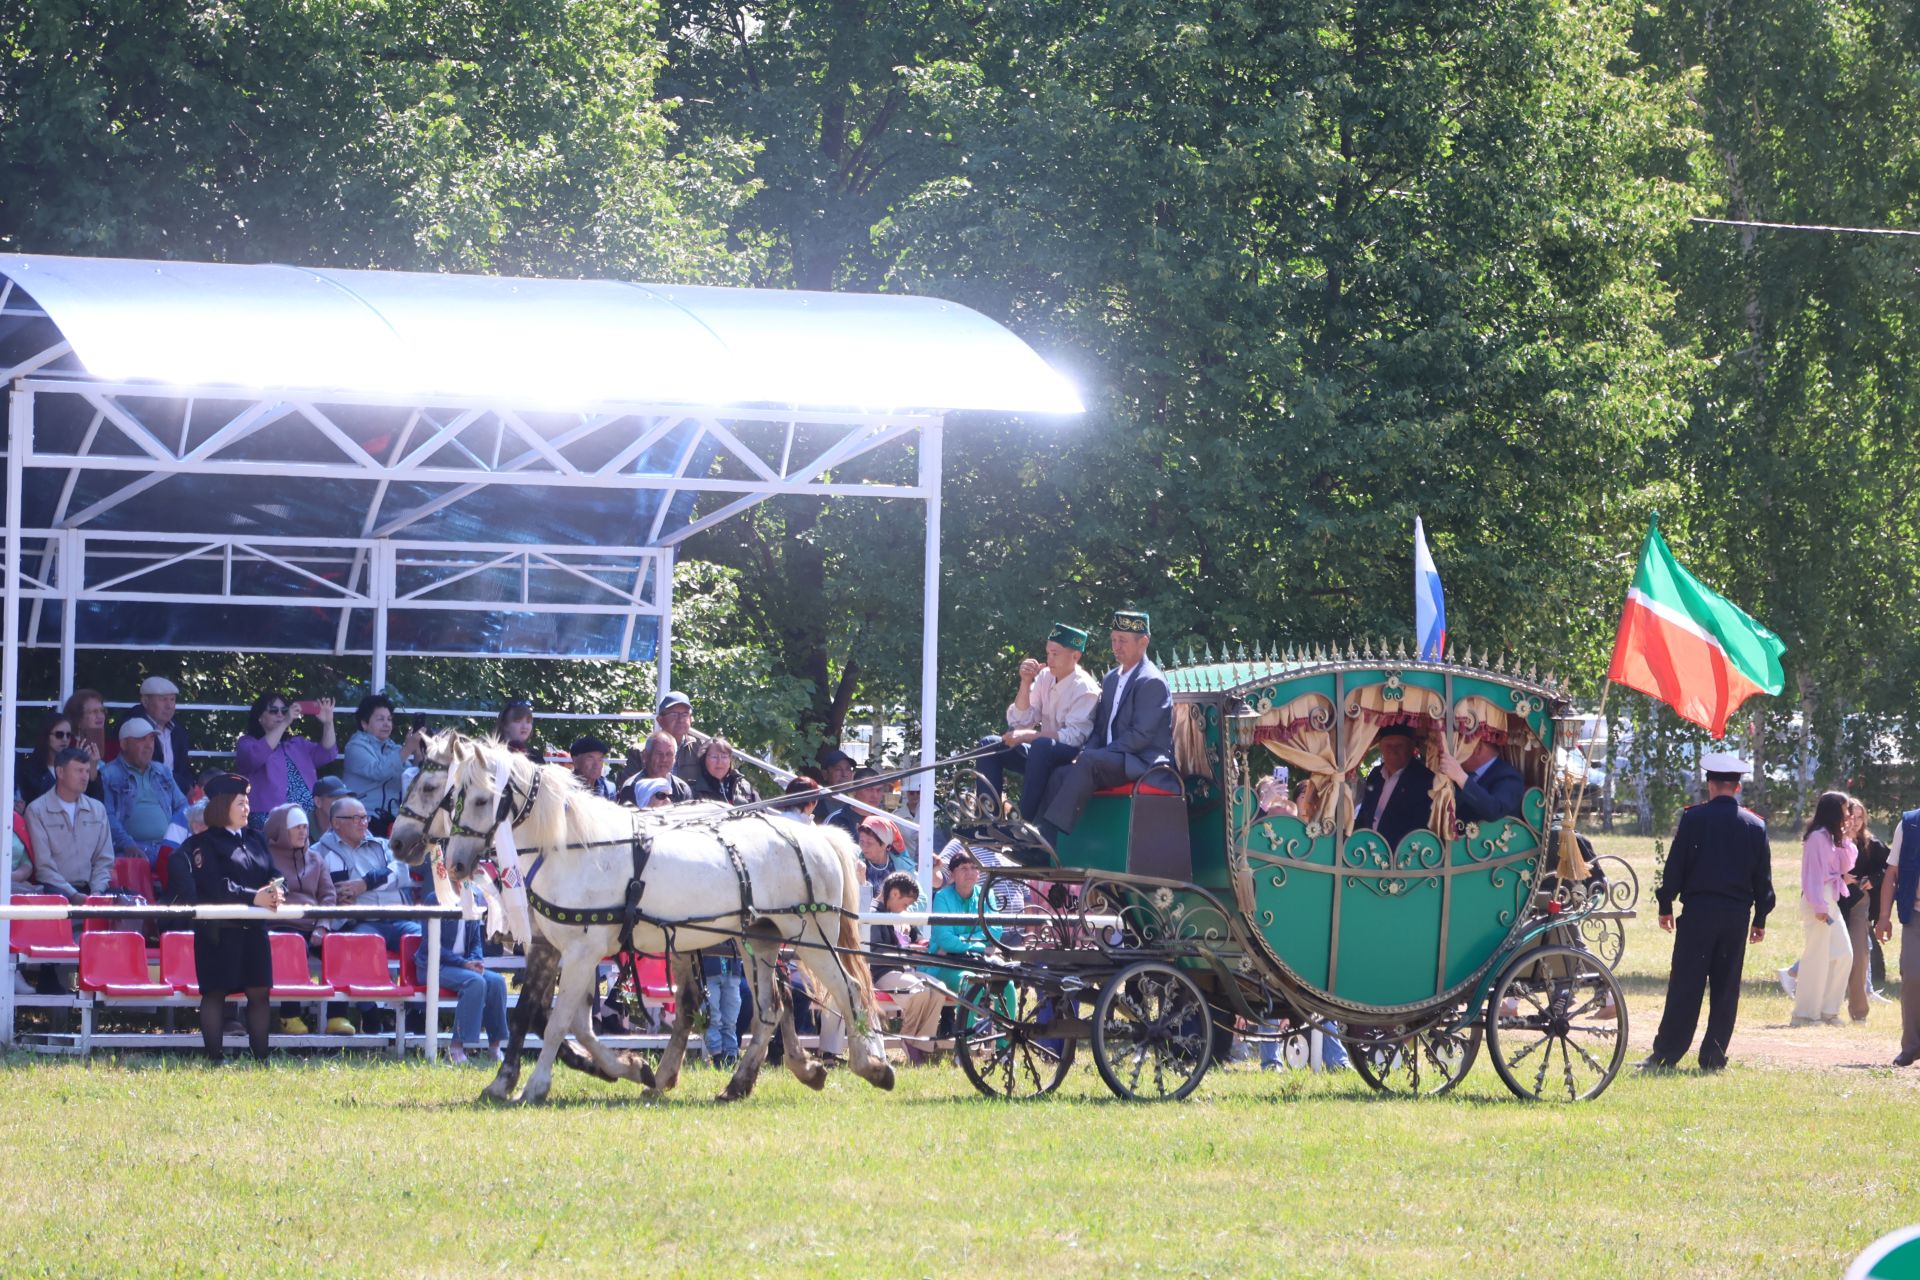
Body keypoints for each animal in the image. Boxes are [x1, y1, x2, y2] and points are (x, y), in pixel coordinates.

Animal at [391, 736, 898, 1105]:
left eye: (472, 798)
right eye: (453, 797)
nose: (454, 863)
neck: (571, 849)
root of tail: (814, 835)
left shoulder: (583, 951)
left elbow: (556, 1021)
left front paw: (536, 1086)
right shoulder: (557, 946)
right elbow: (547, 1017)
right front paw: (625, 1069)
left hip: (811, 935)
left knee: (849, 990)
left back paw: (872, 1066)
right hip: (758, 938)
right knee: (770, 1007)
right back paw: (741, 1082)